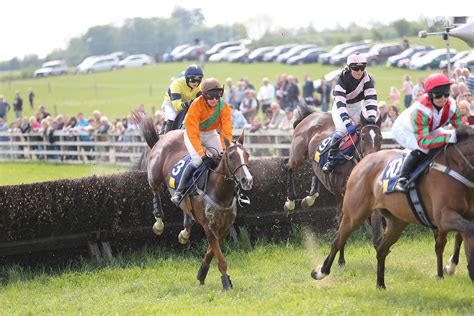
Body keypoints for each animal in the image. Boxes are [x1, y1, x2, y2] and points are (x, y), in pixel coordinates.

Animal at [131, 111, 254, 292]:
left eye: (247, 155)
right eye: (231, 157)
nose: (247, 180)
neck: (219, 191)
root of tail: (166, 135)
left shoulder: (224, 227)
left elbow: (210, 252)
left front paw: (202, 274)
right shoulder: (209, 227)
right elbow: (220, 258)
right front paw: (226, 281)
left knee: (185, 212)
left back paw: (185, 231)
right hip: (154, 173)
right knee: (155, 190)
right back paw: (159, 222)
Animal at [286, 105, 382, 266]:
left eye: (380, 139)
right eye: (363, 137)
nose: (372, 160)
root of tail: (312, 114)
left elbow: (376, 229)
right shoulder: (341, 196)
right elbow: (341, 224)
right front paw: (341, 259)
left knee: (315, 172)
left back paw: (310, 197)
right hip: (298, 153)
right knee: (289, 168)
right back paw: (290, 201)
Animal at [312, 126, 474, 288]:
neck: (456, 165)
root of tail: (362, 162)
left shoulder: (463, 216)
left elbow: (461, 236)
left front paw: (454, 268)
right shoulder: (443, 217)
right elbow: (466, 231)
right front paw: (453, 268)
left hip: (397, 220)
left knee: (382, 249)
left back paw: (381, 285)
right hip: (354, 213)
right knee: (338, 240)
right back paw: (321, 271)